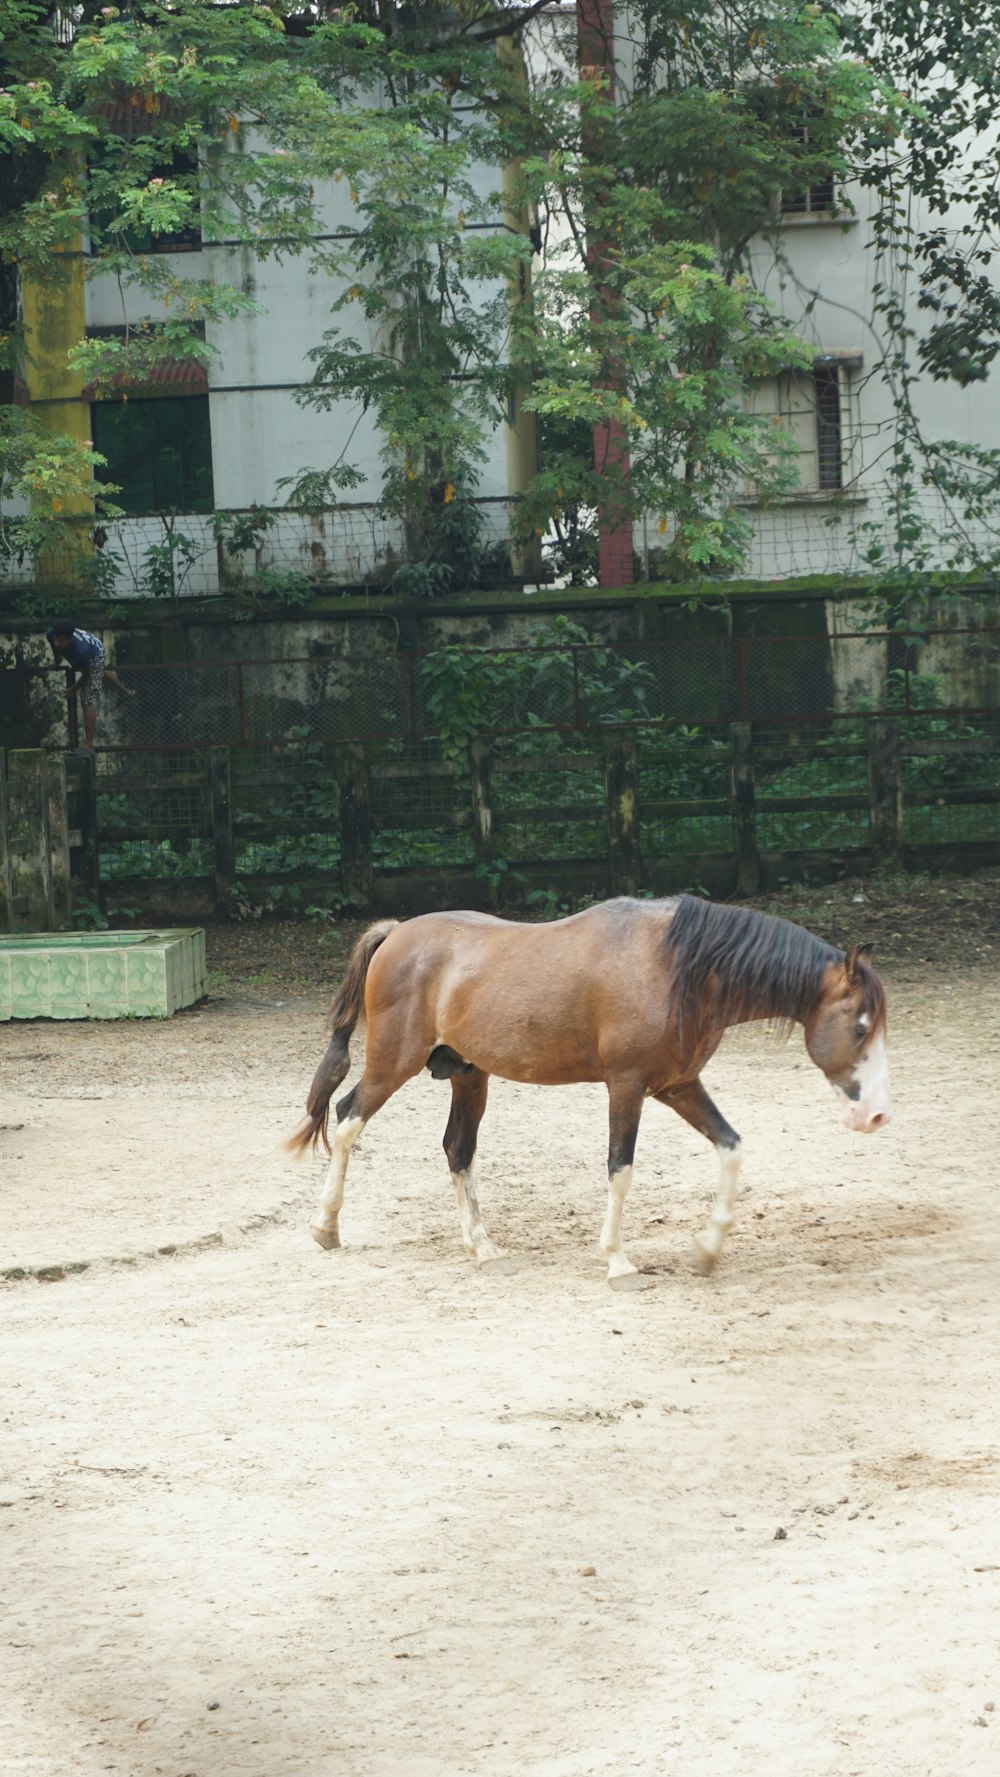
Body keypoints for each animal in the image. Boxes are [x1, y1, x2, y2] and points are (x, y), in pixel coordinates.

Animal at [289, 895, 891, 1286]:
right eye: (860, 1025)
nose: (876, 1116)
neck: (677, 970)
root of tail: (396, 933)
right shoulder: (626, 1087)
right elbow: (620, 1169)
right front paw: (618, 1261)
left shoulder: (678, 1086)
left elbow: (731, 1148)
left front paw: (707, 1249)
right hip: (394, 1063)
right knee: (347, 1119)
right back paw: (324, 1226)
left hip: (469, 1075)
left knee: (457, 1150)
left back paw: (483, 1248)